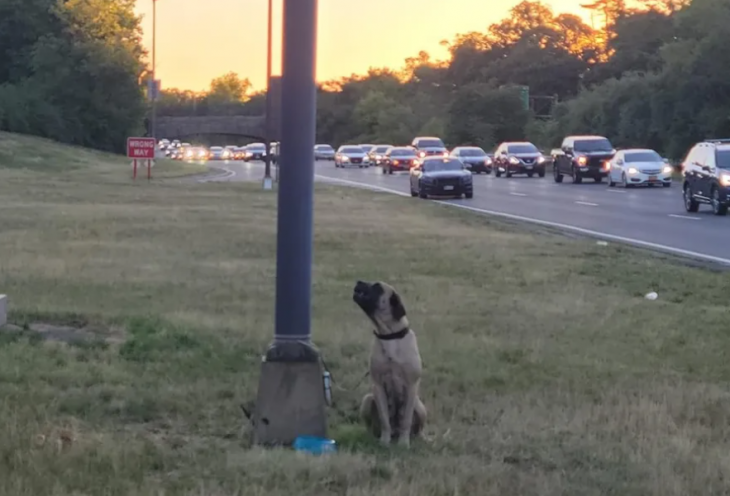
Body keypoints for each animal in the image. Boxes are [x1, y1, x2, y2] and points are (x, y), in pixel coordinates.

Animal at [350, 280, 424, 448]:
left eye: (377, 287)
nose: (358, 281)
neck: (390, 335)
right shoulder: (377, 386)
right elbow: (384, 419)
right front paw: (384, 441)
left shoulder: (411, 386)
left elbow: (406, 419)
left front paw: (403, 444)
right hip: (367, 400)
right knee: (372, 425)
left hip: (420, 407)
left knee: (416, 429)